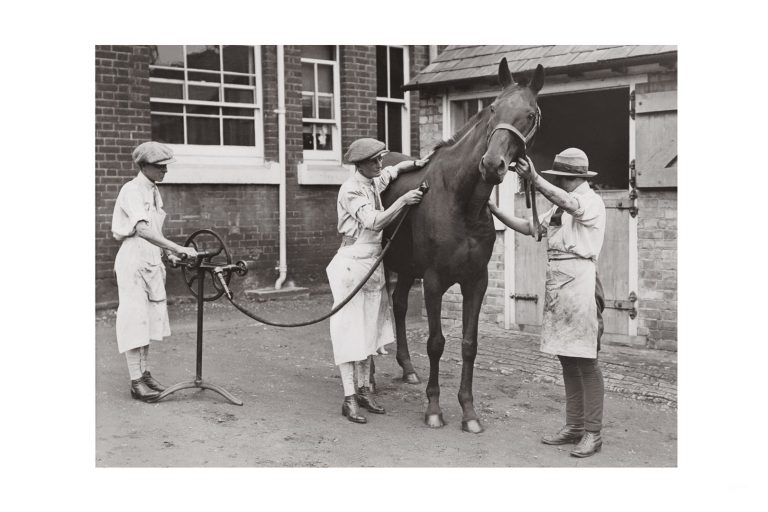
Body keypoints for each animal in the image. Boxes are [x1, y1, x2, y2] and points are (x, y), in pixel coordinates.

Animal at [380, 58, 544, 434]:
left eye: (530, 115)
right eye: (494, 107)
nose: (492, 164)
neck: (460, 199)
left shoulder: (476, 281)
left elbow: (469, 345)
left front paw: (469, 412)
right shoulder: (434, 281)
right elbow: (436, 343)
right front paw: (434, 409)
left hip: (407, 268)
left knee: (399, 305)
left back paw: (407, 368)